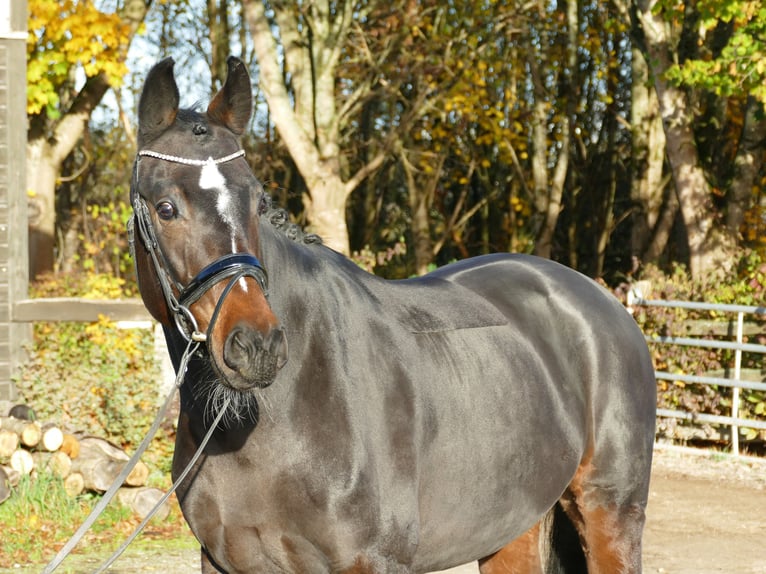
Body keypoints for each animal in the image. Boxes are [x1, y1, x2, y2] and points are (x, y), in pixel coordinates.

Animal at [130, 56, 656, 574]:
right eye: (165, 208)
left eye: (257, 200)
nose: (256, 346)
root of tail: (604, 302)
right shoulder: (221, 562)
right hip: (512, 525)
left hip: (610, 512)